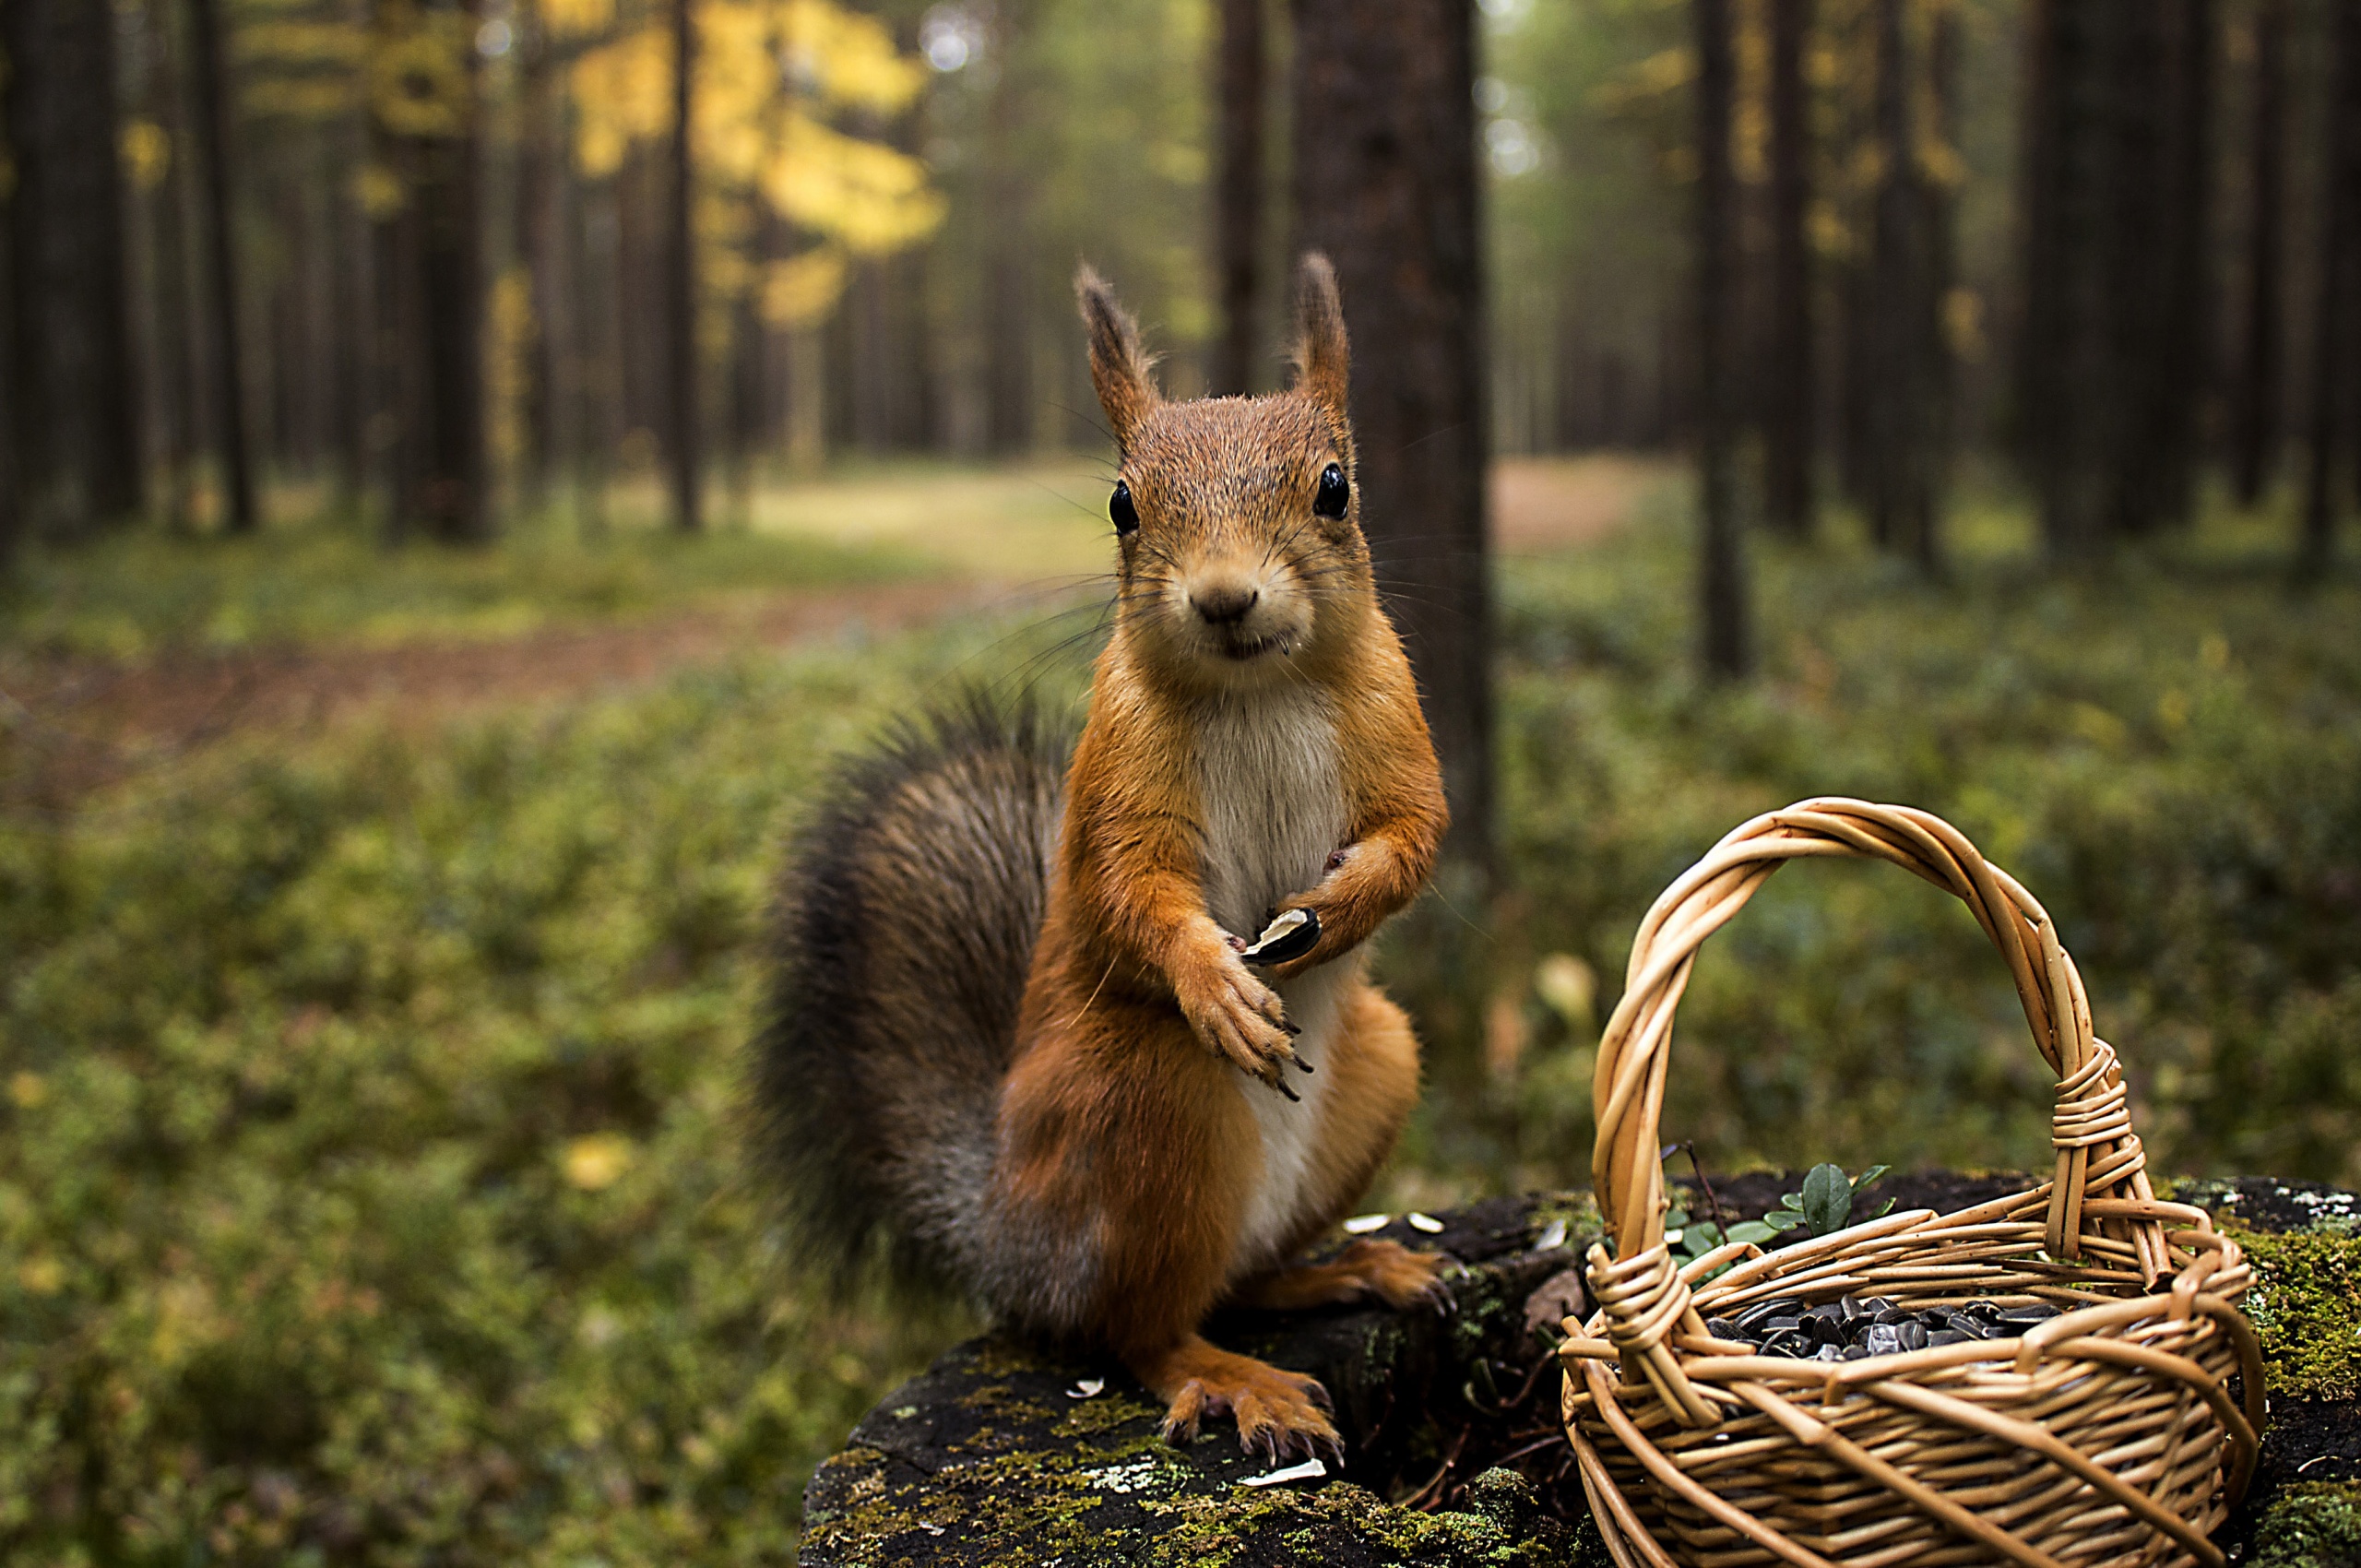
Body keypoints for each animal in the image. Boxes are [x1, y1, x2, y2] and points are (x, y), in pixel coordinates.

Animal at [755, 251, 1453, 1464]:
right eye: (1124, 504)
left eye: (1335, 486)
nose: (1223, 597)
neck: (1257, 688)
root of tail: (1006, 1239)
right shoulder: (1117, 779)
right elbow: (1131, 890)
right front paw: (1215, 981)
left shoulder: (1396, 724)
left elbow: (1414, 834)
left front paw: (1339, 907)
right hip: (1143, 1102)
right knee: (1138, 1326)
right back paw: (1232, 1376)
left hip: (1379, 1065)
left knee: (1239, 1278)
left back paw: (1349, 1266)